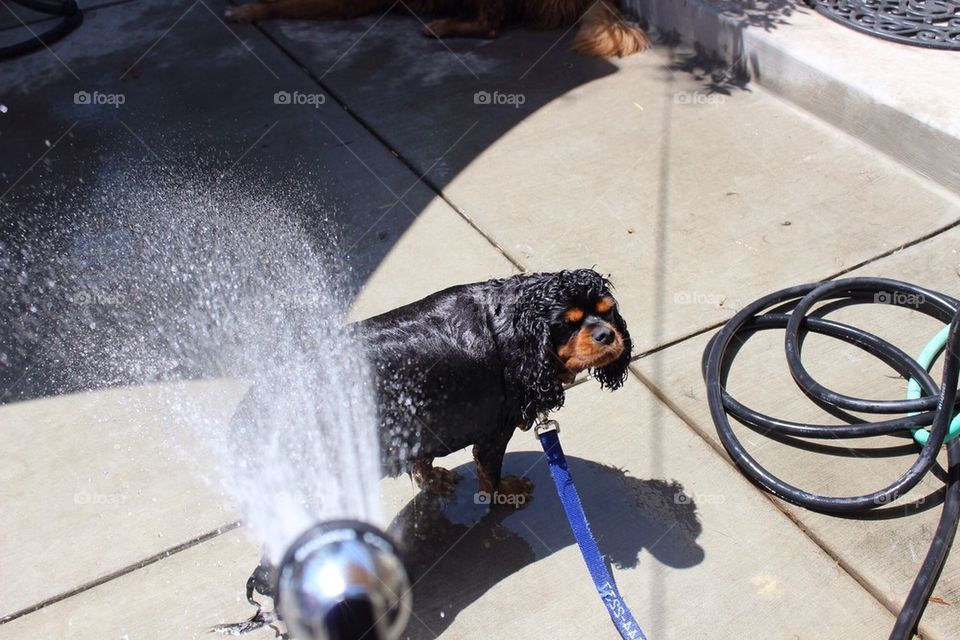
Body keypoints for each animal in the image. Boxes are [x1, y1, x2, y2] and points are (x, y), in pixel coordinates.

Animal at [356, 268, 632, 504]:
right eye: (567, 324)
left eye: (608, 312)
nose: (607, 334)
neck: (515, 327)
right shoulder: (494, 431)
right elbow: (490, 473)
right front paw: (506, 493)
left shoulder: (427, 423)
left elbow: (422, 458)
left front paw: (433, 479)